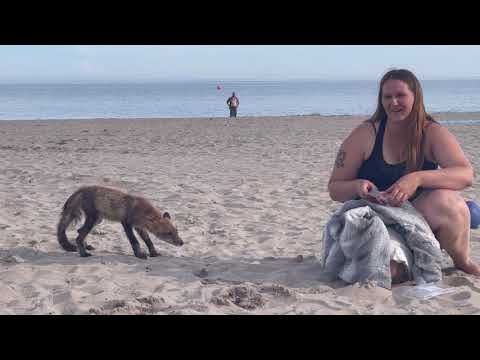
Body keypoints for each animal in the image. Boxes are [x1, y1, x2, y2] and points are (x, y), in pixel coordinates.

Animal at [56, 186, 184, 258]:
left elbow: (148, 241)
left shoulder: (139, 227)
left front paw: (154, 253)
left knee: (79, 231)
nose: (182, 243)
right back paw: (83, 254)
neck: (141, 210)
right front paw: (139, 255)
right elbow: (134, 241)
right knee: (79, 237)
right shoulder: (126, 223)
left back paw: (86, 246)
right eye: (168, 233)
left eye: (176, 231)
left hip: (98, 220)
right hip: (93, 219)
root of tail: (81, 189)